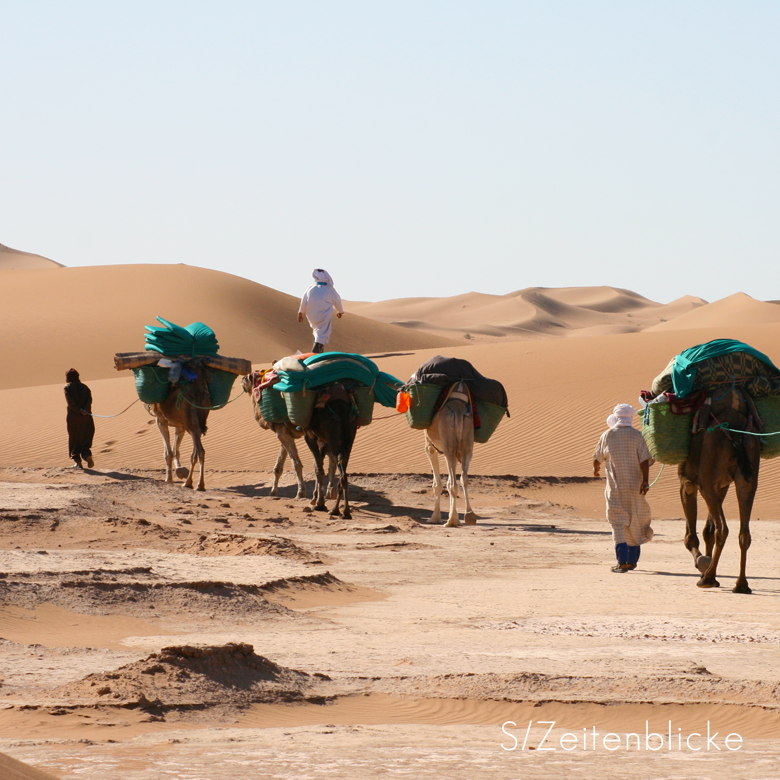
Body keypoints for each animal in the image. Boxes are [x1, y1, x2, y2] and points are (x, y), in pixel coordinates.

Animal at [149, 362, 209, 490]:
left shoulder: (160, 420)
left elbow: (168, 452)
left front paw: (169, 479)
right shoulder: (180, 425)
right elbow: (176, 450)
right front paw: (180, 471)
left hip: (192, 423)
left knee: (200, 451)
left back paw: (197, 484)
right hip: (196, 423)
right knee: (195, 453)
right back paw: (190, 482)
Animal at [424, 380, 478, 528]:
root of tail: (458, 412)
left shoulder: (430, 447)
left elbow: (437, 484)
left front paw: (435, 517)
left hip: (448, 443)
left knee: (454, 483)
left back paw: (451, 521)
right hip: (467, 442)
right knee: (464, 477)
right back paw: (469, 515)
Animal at [680, 386, 760, 596]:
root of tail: (736, 430)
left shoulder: (688, 482)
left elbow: (691, 536)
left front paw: (703, 566)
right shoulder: (722, 485)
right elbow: (708, 529)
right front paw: (709, 570)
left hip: (708, 479)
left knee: (723, 529)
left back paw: (707, 579)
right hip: (748, 476)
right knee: (744, 533)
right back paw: (741, 585)